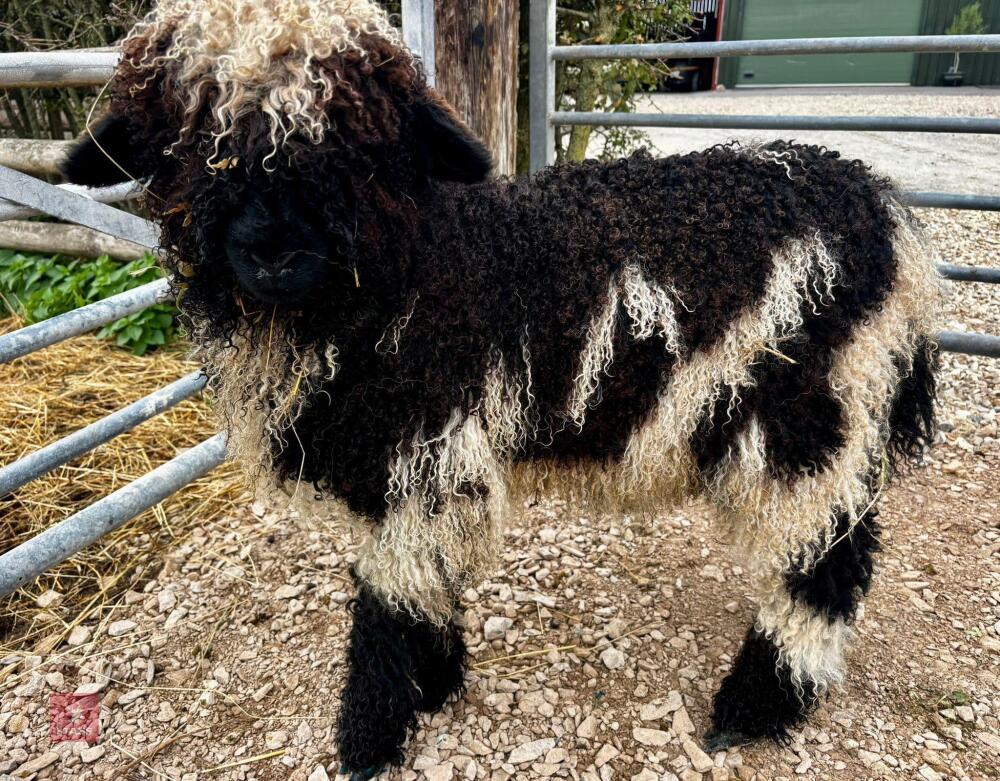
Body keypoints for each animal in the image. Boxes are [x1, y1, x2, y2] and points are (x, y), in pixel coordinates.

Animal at [63, 1, 943, 776]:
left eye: (359, 142)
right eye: (186, 142)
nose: (275, 250)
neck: (419, 264)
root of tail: (885, 210)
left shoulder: (426, 453)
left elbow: (386, 604)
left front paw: (369, 737)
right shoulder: (412, 470)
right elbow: (420, 585)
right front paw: (435, 682)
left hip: (811, 417)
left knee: (824, 564)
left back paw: (756, 706)